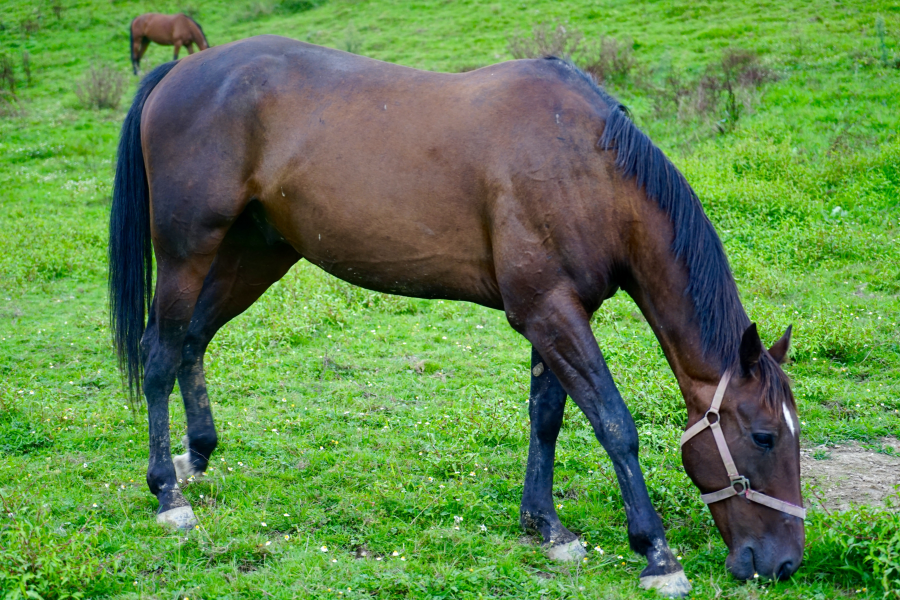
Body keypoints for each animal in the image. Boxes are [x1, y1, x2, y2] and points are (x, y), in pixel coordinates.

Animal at [109, 36, 804, 596]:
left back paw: (197, 458)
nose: (786, 564)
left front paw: (546, 527)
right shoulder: (549, 312)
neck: (586, 166)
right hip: (187, 252)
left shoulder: (555, 311)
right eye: (764, 436)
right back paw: (168, 494)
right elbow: (613, 422)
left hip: (253, 253)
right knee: (159, 352)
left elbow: (547, 418)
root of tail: (180, 72)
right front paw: (657, 555)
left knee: (193, 340)